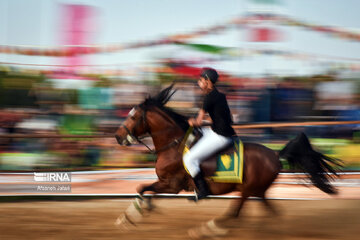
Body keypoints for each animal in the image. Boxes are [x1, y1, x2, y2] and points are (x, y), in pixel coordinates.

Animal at [114, 84, 342, 223]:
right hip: (258, 191)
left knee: (235, 212)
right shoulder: (166, 184)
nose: (117, 136)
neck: (173, 145)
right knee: (270, 212)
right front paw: (138, 212)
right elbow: (144, 190)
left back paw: (210, 229)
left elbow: (142, 189)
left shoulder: (172, 184)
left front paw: (131, 215)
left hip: (247, 189)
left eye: (133, 117)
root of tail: (275, 156)